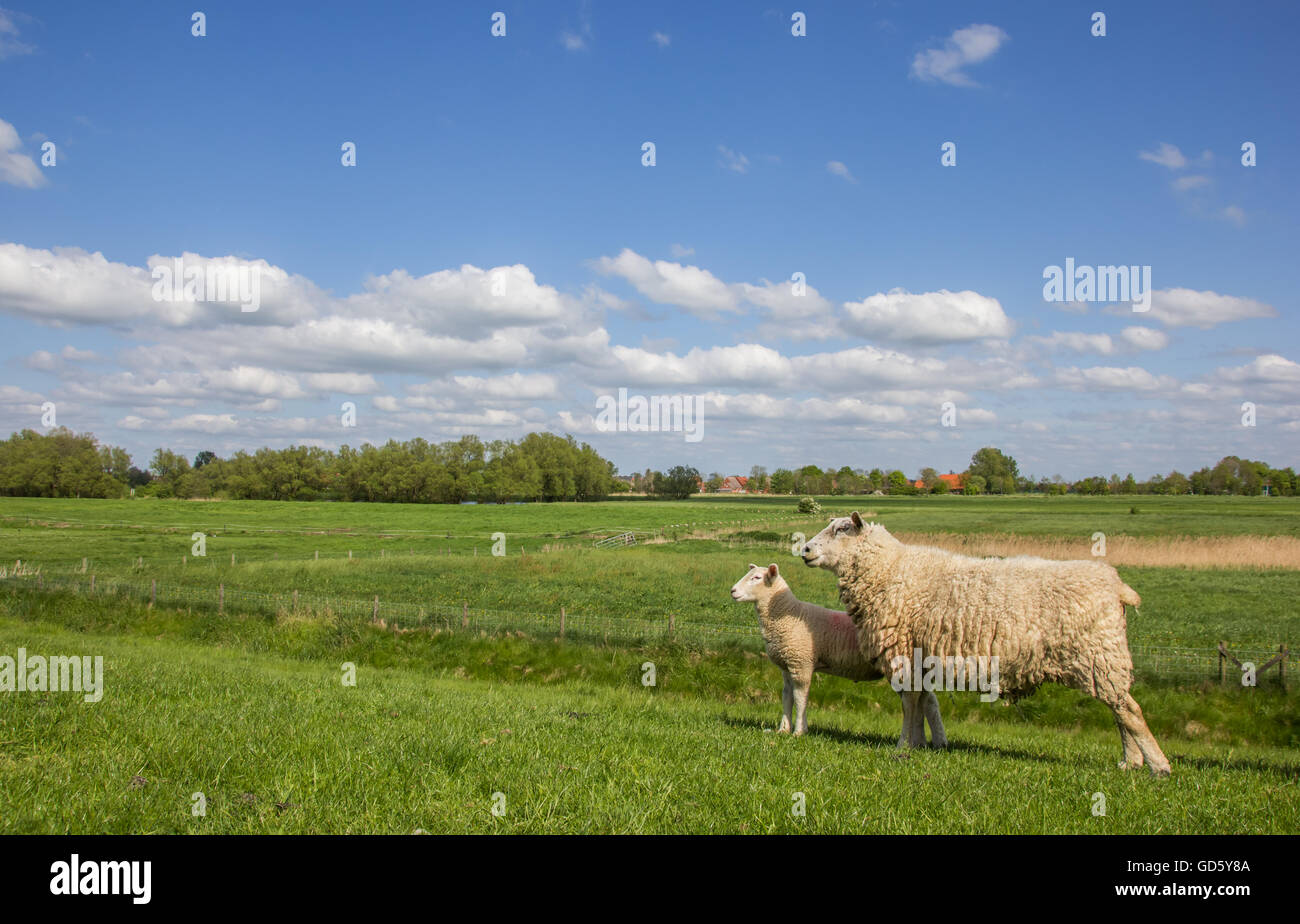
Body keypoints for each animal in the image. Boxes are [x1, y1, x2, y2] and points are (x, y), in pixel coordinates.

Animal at [733, 561, 946, 748]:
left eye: (756, 578)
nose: (732, 591)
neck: (786, 614)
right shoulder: (787, 666)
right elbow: (787, 697)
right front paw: (783, 729)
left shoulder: (802, 664)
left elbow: (800, 698)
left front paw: (799, 731)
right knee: (929, 702)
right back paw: (933, 742)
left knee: (914, 700)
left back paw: (911, 742)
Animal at [795, 512, 1175, 774]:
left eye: (841, 530)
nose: (805, 550)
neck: (889, 570)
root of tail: (1116, 585)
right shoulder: (921, 655)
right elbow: (923, 703)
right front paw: (920, 743)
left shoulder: (903, 651)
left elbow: (909, 705)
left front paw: (903, 745)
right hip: (1101, 660)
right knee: (1120, 710)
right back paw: (1130, 762)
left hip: (1098, 655)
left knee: (1129, 711)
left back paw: (1158, 766)